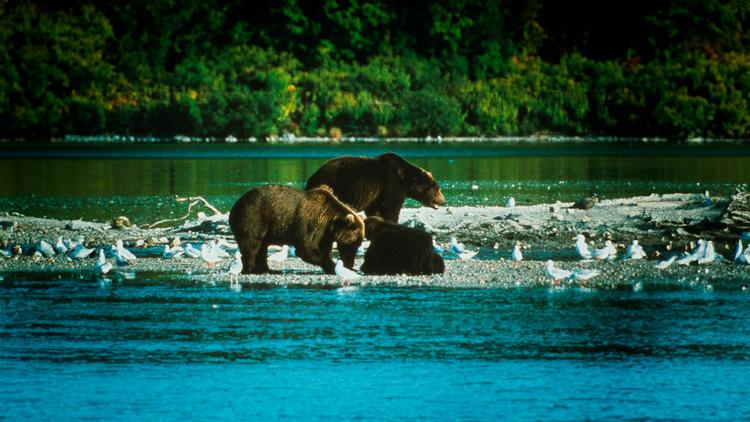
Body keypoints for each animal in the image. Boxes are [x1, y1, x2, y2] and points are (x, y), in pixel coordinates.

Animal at [232, 185, 368, 274]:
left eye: (358, 244)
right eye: (352, 243)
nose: (350, 263)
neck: (329, 221)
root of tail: (236, 204)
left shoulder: (324, 234)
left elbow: (323, 248)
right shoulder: (310, 223)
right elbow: (306, 248)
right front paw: (332, 266)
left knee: (262, 247)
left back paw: (267, 269)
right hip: (254, 217)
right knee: (252, 244)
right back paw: (251, 269)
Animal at [306, 152, 446, 224]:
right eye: (438, 189)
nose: (444, 201)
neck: (406, 179)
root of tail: (312, 177)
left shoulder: (376, 194)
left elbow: (375, 209)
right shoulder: (392, 184)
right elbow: (390, 207)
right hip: (334, 185)